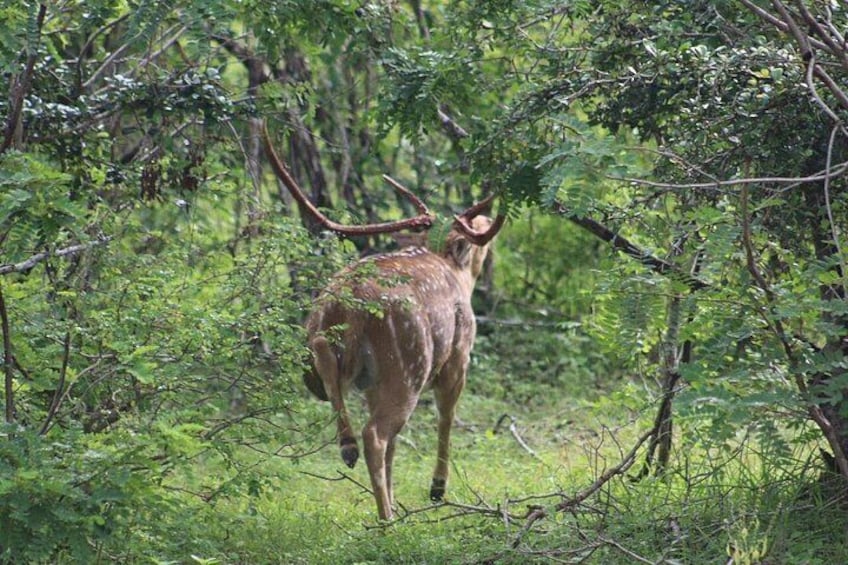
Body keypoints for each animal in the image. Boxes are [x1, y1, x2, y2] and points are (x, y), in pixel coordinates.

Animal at [262, 123, 504, 520]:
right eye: (470, 240)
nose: (483, 222)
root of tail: (344, 306)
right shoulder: (458, 356)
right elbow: (447, 416)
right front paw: (437, 489)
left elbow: (397, 446)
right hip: (406, 366)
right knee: (376, 435)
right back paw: (386, 515)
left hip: (358, 365)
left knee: (346, 395)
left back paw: (354, 457)